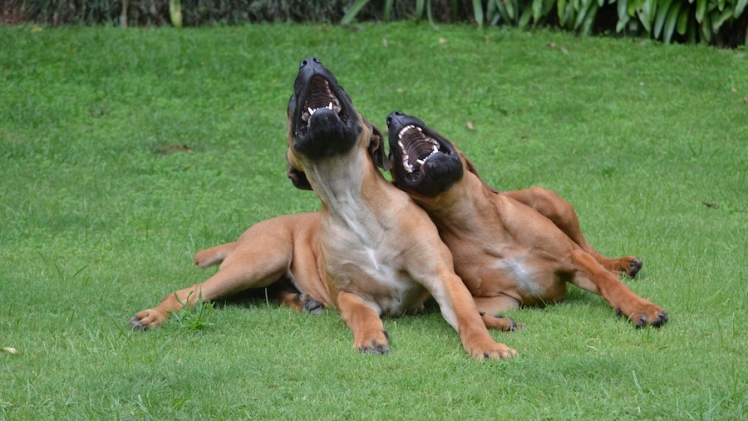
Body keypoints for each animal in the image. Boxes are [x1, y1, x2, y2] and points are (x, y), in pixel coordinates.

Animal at [284, 56, 516, 358]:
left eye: (344, 90)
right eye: (290, 101)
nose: (310, 60)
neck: (350, 199)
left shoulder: (441, 275)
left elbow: (467, 315)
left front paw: (486, 345)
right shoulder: (350, 294)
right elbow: (361, 314)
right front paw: (371, 337)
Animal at [386, 110, 668, 326]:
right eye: (390, 158)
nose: (392, 116)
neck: (473, 221)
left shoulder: (573, 260)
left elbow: (608, 281)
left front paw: (641, 308)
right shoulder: (504, 298)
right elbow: (470, 310)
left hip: (548, 199)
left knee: (590, 251)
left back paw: (621, 264)